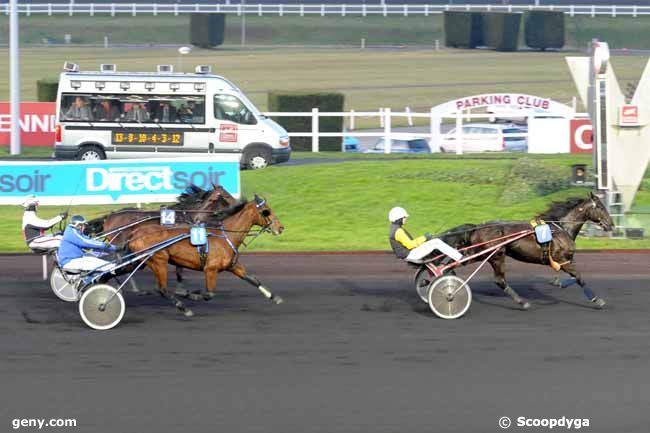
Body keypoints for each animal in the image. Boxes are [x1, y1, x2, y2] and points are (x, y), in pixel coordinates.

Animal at [129, 194, 284, 316]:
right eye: (266, 211)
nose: (281, 228)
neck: (225, 236)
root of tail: (135, 233)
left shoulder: (233, 266)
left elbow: (253, 279)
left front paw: (274, 297)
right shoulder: (210, 269)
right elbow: (209, 294)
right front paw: (193, 295)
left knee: (158, 288)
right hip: (158, 260)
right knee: (162, 289)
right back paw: (184, 308)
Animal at [436, 193, 612, 310]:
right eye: (601, 207)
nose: (611, 224)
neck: (561, 228)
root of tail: (477, 227)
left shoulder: (567, 260)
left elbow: (574, 277)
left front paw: (557, 282)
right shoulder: (562, 259)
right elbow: (579, 277)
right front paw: (597, 300)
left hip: (479, 254)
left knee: (455, 262)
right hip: (496, 255)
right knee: (499, 280)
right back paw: (522, 302)